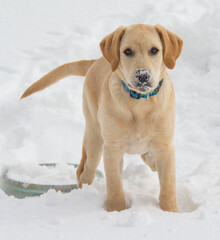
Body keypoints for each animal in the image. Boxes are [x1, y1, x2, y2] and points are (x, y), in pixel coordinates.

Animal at [21, 24, 182, 212]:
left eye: (154, 50)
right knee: (84, 172)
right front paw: (117, 211)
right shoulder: (112, 148)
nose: (143, 75)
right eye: (127, 51)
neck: (139, 103)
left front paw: (170, 212)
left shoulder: (165, 147)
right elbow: (115, 187)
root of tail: (95, 61)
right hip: (94, 137)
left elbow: (168, 186)